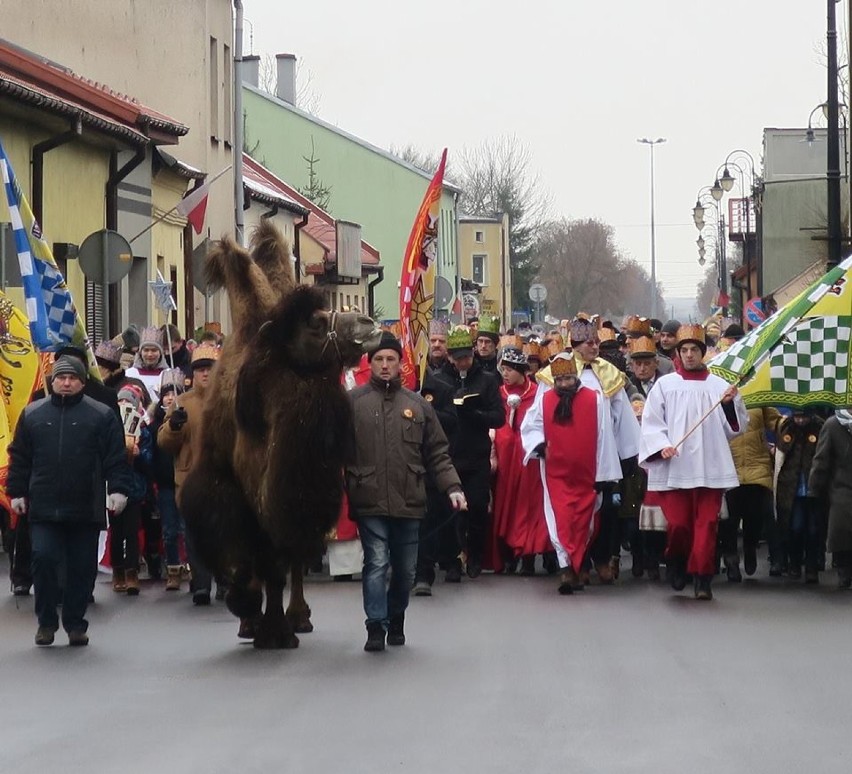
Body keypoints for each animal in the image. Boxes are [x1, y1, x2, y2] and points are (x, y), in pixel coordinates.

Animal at [181, 221, 382, 652]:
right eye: (314, 323)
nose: (367, 324)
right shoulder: (228, 484)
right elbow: (246, 559)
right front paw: (251, 615)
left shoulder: (289, 494)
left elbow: (278, 562)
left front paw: (275, 630)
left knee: (292, 561)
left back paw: (298, 617)